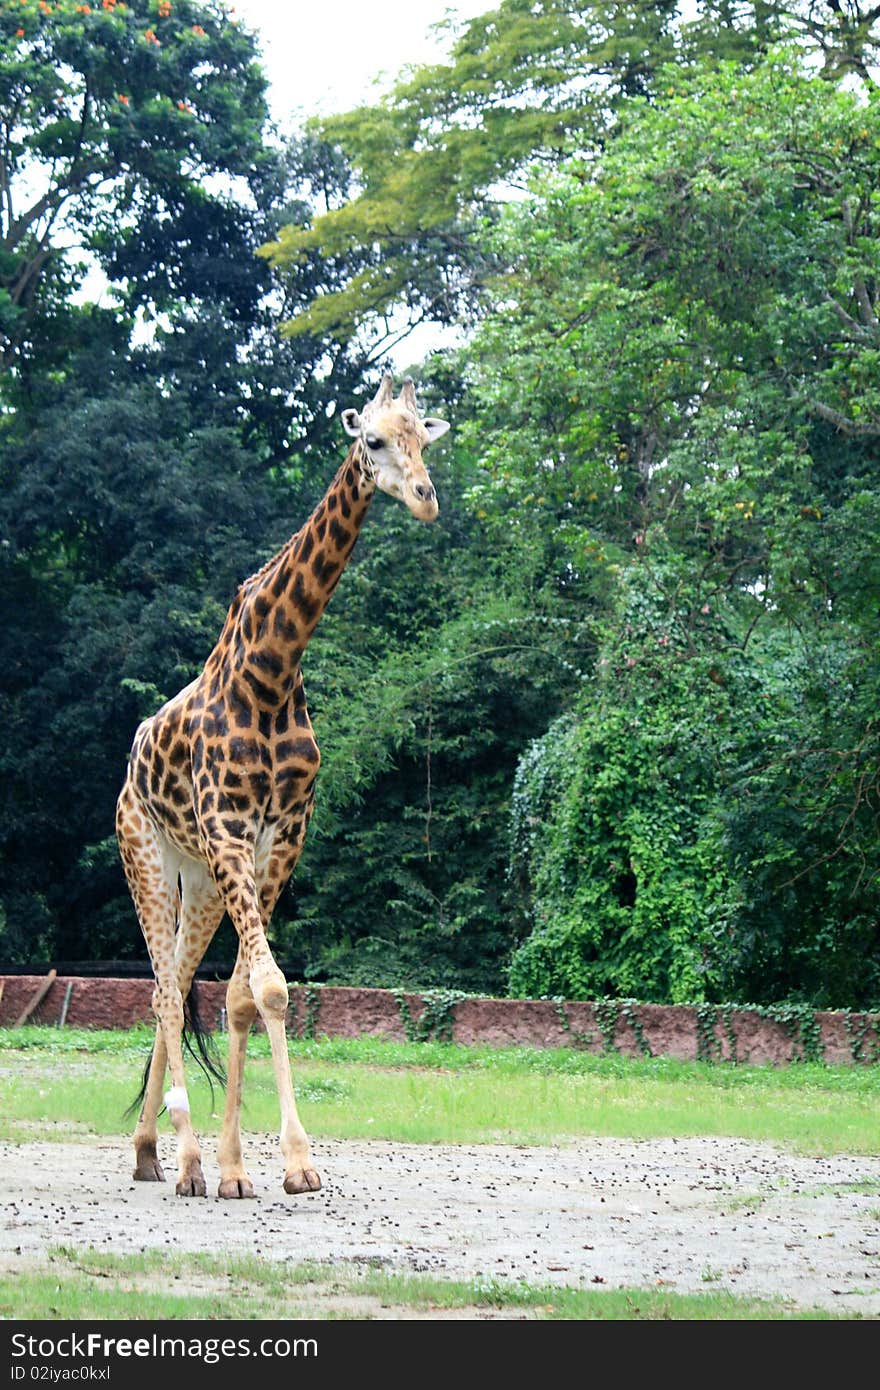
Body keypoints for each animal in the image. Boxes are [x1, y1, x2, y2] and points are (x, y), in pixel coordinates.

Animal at [114, 375, 444, 1200]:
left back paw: (148, 1151)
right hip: (145, 853)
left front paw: (248, 1168)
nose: (425, 498)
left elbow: (241, 995)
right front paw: (277, 1163)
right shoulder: (230, 825)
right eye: (373, 441)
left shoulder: (282, 835)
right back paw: (184, 1161)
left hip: (198, 879)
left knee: (178, 984)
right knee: (162, 989)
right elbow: (268, 988)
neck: (273, 667)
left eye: (424, 439)